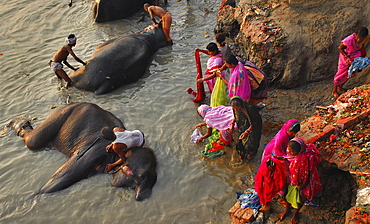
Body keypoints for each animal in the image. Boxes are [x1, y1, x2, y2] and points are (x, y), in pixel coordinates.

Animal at [8, 102, 156, 200]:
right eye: (141, 176)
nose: (139, 197)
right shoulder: (94, 151)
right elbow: (64, 174)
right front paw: (34, 195)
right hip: (61, 114)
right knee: (34, 141)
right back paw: (17, 121)